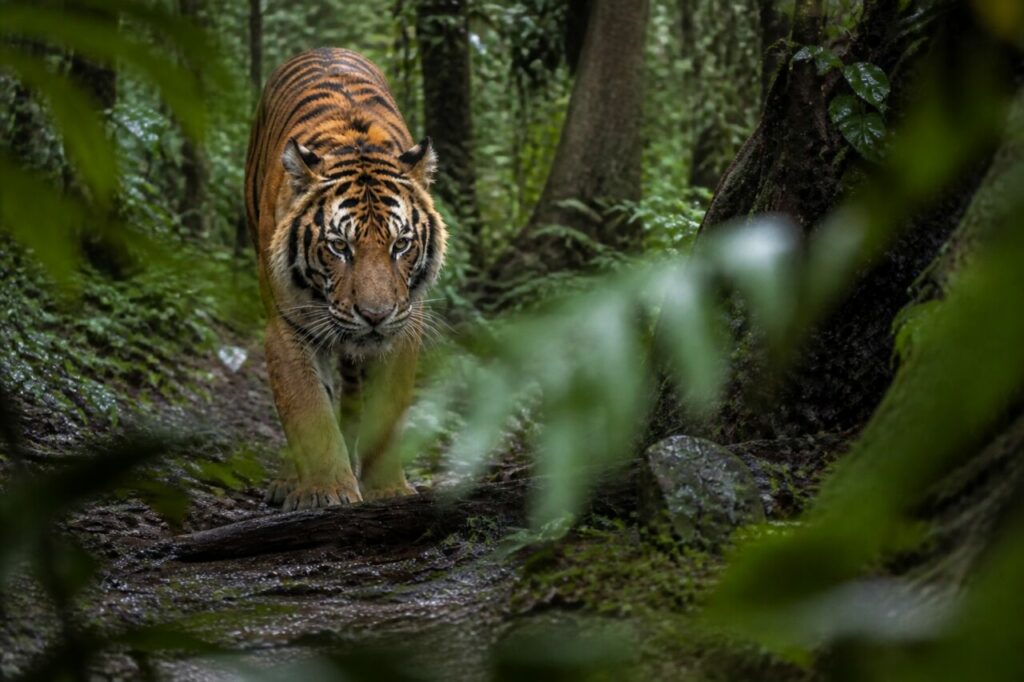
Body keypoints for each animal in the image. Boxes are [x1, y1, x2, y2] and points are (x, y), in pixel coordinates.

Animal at [244, 48, 447, 510]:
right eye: (339, 246)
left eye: (401, 244)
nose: (375, 315)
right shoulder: (286, 327)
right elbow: (308, 411)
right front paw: (327, 491)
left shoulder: (404, 327)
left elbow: (386, 413)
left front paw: (388, 489)